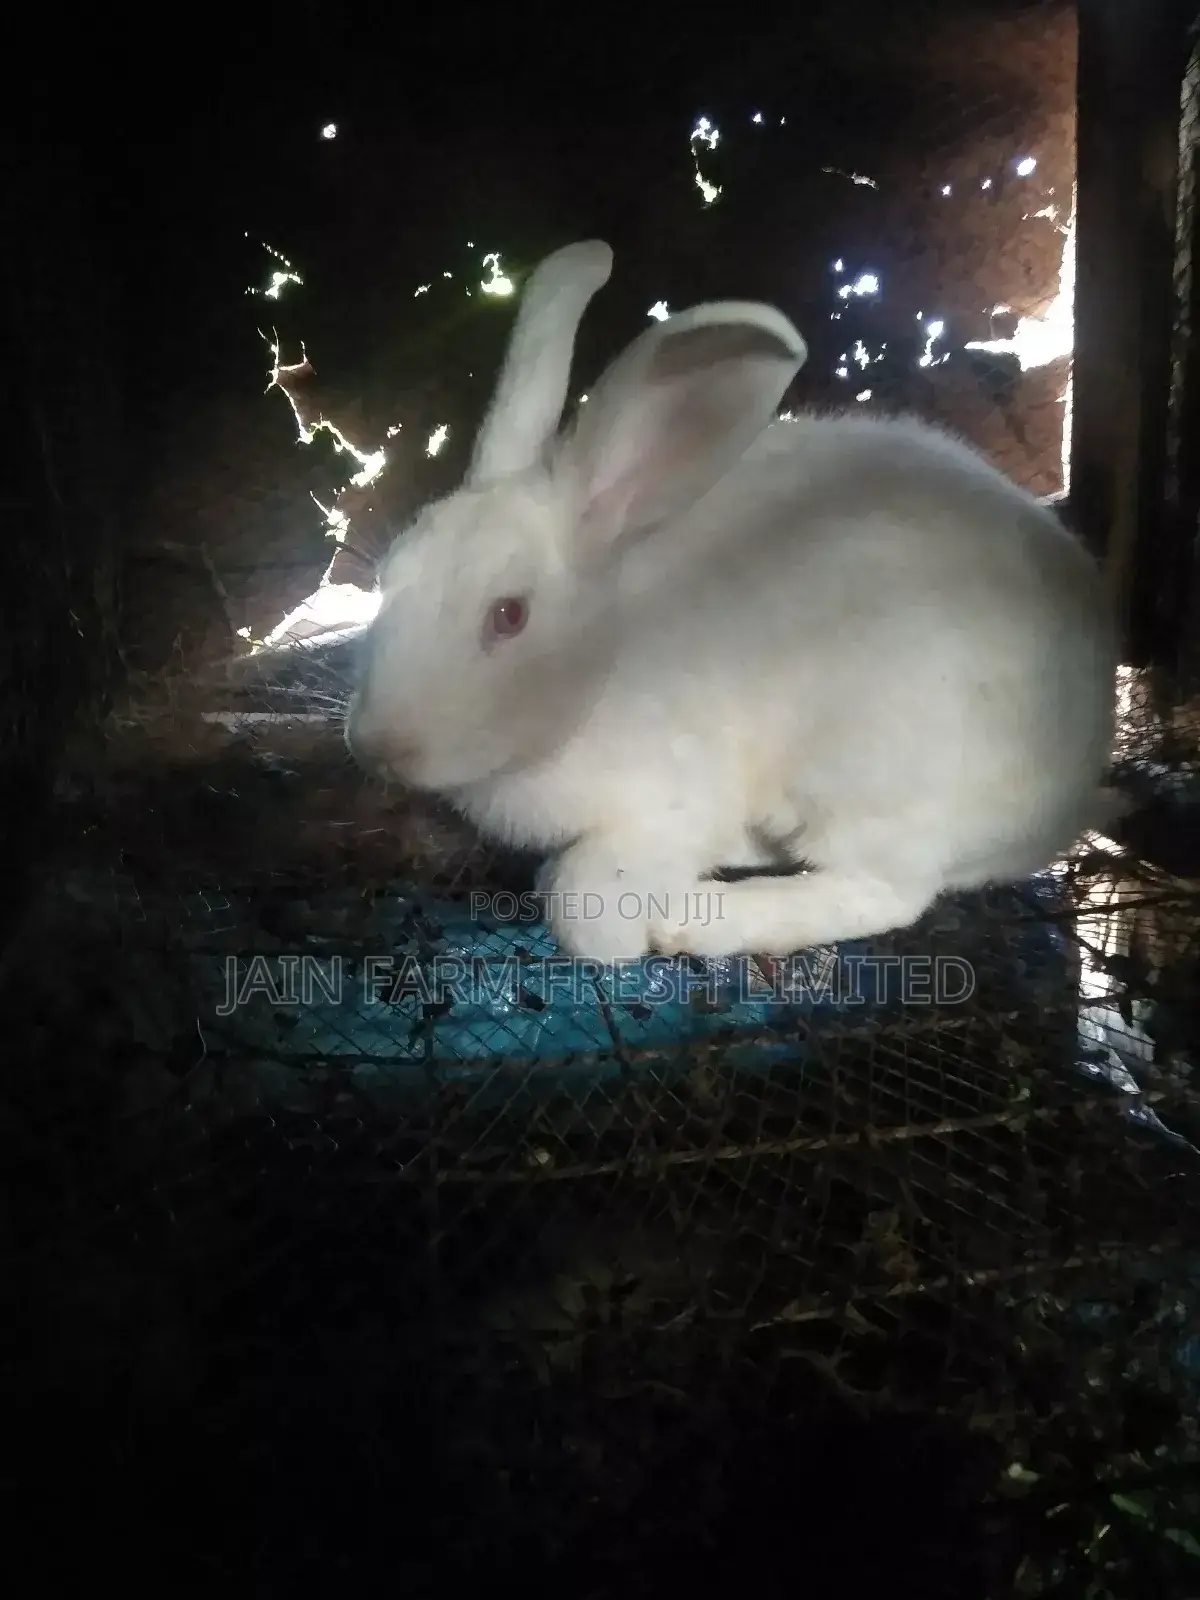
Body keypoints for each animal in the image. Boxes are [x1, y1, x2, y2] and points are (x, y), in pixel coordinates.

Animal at [345, 239, 1118, 964]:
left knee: (886, 893)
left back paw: (701, 919)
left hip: (873, 768)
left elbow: (581, 906)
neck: (601, 666)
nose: (378, 745)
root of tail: (1076, 778)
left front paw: (637, 926)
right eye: (389, 576)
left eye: (509, 616)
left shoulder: (675, 800)